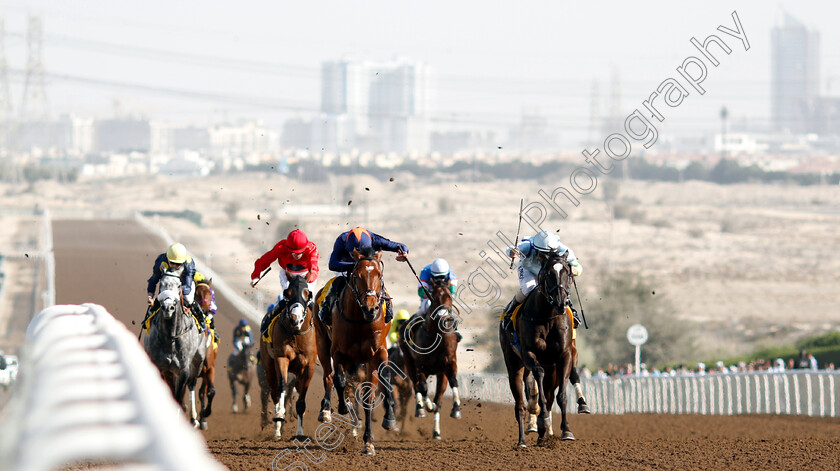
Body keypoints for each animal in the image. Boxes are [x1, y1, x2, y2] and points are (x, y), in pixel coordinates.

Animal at [142, 272, 206, 426]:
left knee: (192, 384)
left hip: (198, 362)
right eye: (162, 283)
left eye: (178, 285)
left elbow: (178, 397)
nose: (168, 307)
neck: (171, 336)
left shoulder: (183, 370)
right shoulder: (161, 367)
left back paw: (194, 418)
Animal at [258, 274, 316, 440]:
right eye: (287, 293)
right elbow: (282, 387)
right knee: (274, 392)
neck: (296, 334)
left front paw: (300, 433)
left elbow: (301, 400)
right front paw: (279, 416)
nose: (296, 319)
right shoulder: (281, 358)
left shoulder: (309, 367)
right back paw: (277, 428)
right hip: (269, 367)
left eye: (307, 293)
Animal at [316, 249, 400, 456]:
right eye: (356, 275)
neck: (361, 321)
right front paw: (342, 407)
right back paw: (326, 410)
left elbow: (375, 392)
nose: (370, 308)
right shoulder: (338, 353)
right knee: (329, 377)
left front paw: (371, 439)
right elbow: (339, 380)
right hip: (322, 343)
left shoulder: (378, 354)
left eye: (379, 275)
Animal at [398, 280, 462, 438]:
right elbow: (423, 387)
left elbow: (453, 381)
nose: (444, 318)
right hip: (409, 363)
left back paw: (436, 431)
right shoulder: (420, 366)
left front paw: (456, 409)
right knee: (417, 385)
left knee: (438, 399)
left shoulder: (450, 364)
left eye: (449, 296)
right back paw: (421, 408)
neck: (437, 335)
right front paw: (426, 405)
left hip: (440, 374)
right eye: (434, 297)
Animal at [498, 251, 576, 446]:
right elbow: (538, 380)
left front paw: (566, 431)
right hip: (514, 365)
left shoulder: (564, 356)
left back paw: (542, 435)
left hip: (551, 368)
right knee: (520, 404)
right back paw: (522, 441)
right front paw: (542, 419)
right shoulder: (529, 354)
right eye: (548, 274)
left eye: (568, 272)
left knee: (547, 395)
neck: (547, 316)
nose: (561, 302)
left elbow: (561, 396)